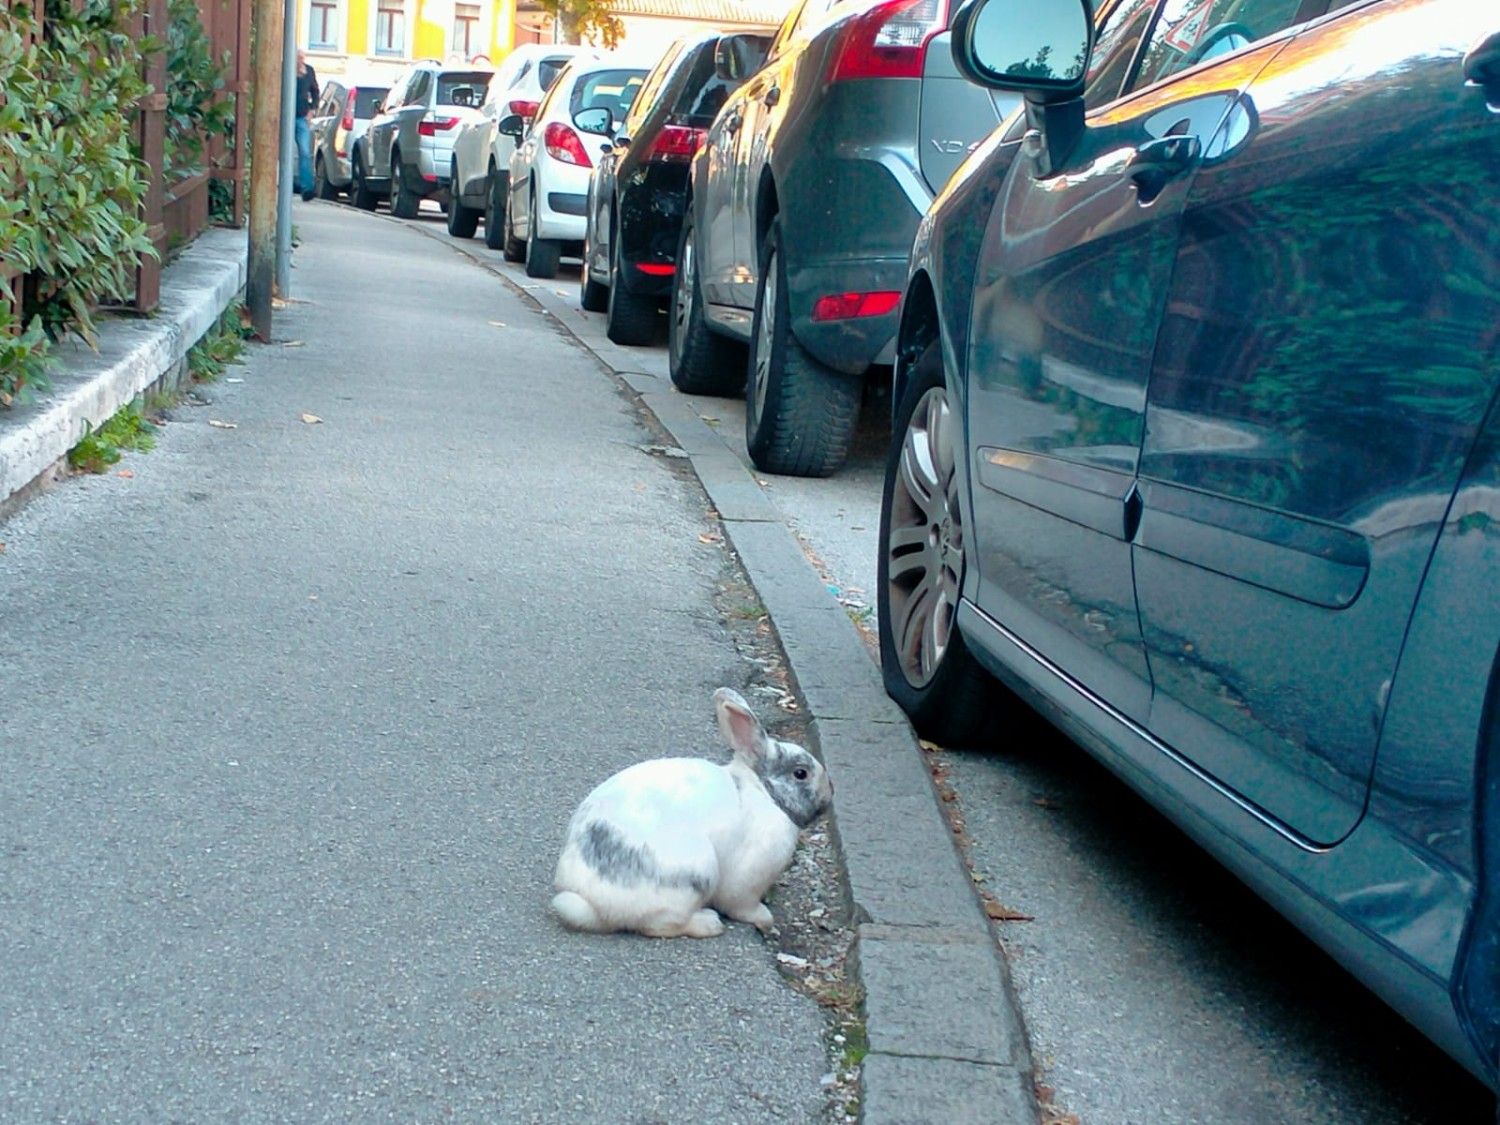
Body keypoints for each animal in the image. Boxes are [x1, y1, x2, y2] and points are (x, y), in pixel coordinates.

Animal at [551, 687, 834, 938]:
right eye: (801, 773)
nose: (829, 794)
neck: (763, 792)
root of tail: (594, 906)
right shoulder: (748, 879)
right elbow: (742, 906)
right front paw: (766, 921)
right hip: (695, 877)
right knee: (659, 925)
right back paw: (709, 924)